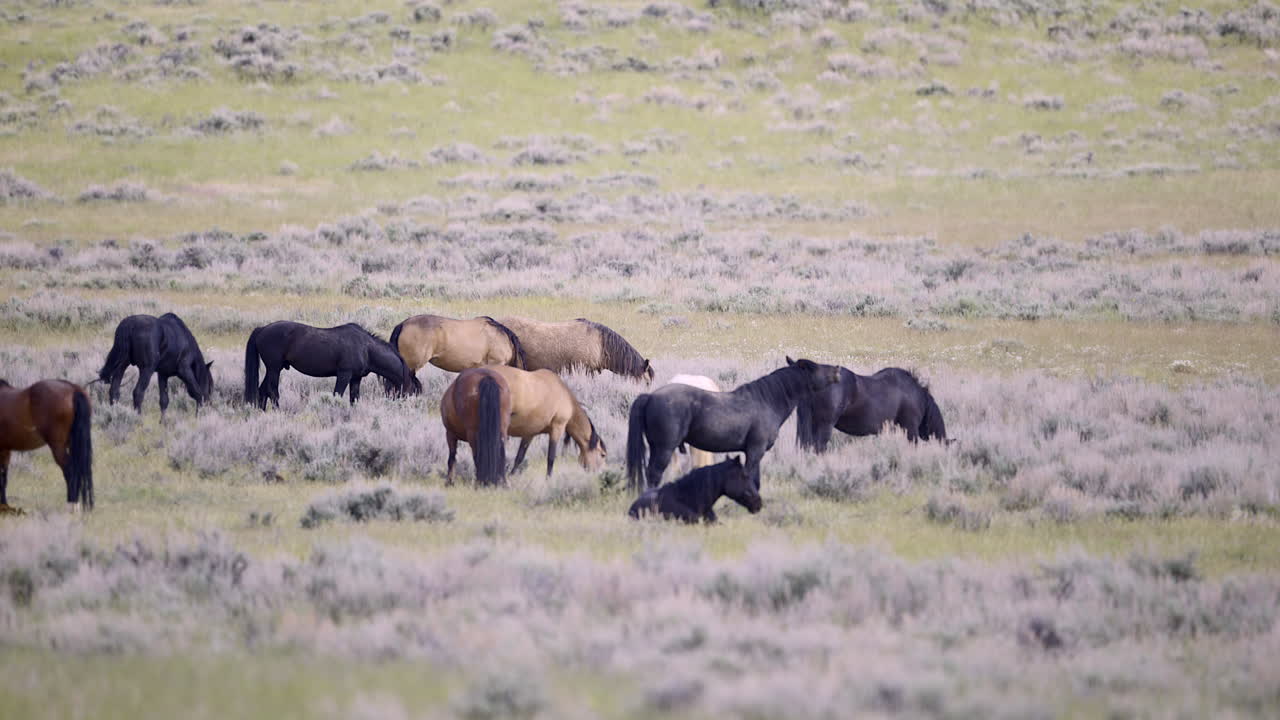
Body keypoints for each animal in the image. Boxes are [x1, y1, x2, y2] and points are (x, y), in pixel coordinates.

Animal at [0, 380, 93, 513]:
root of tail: (73, 389)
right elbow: (4, 478)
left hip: (58, 447)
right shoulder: (5, 450)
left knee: (70, 470)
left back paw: (72, 505)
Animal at [244, 321, 415, 410]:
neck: (366, 348)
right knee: (272, 391)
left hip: (274, 369)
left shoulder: (356, 378)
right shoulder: (344, 374)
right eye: (412, 392)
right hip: (274, 369)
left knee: (263, 391)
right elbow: (337, 395)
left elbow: (354, 399)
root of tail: (262, 329)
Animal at [441, 365, 606, 486]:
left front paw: (511, 476)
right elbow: (551, 457)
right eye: (603, 455)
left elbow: (519, 457)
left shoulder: (529, 433)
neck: (563, 394)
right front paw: (548, 479)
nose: (597, 475)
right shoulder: (557, 428)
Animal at [627, 357, 841, 491]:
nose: (837, 370)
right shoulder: (755, 450)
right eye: (813, 367)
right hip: (664, 448)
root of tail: (650, 397)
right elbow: (750, 476)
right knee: (654, 474)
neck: (766, 401)